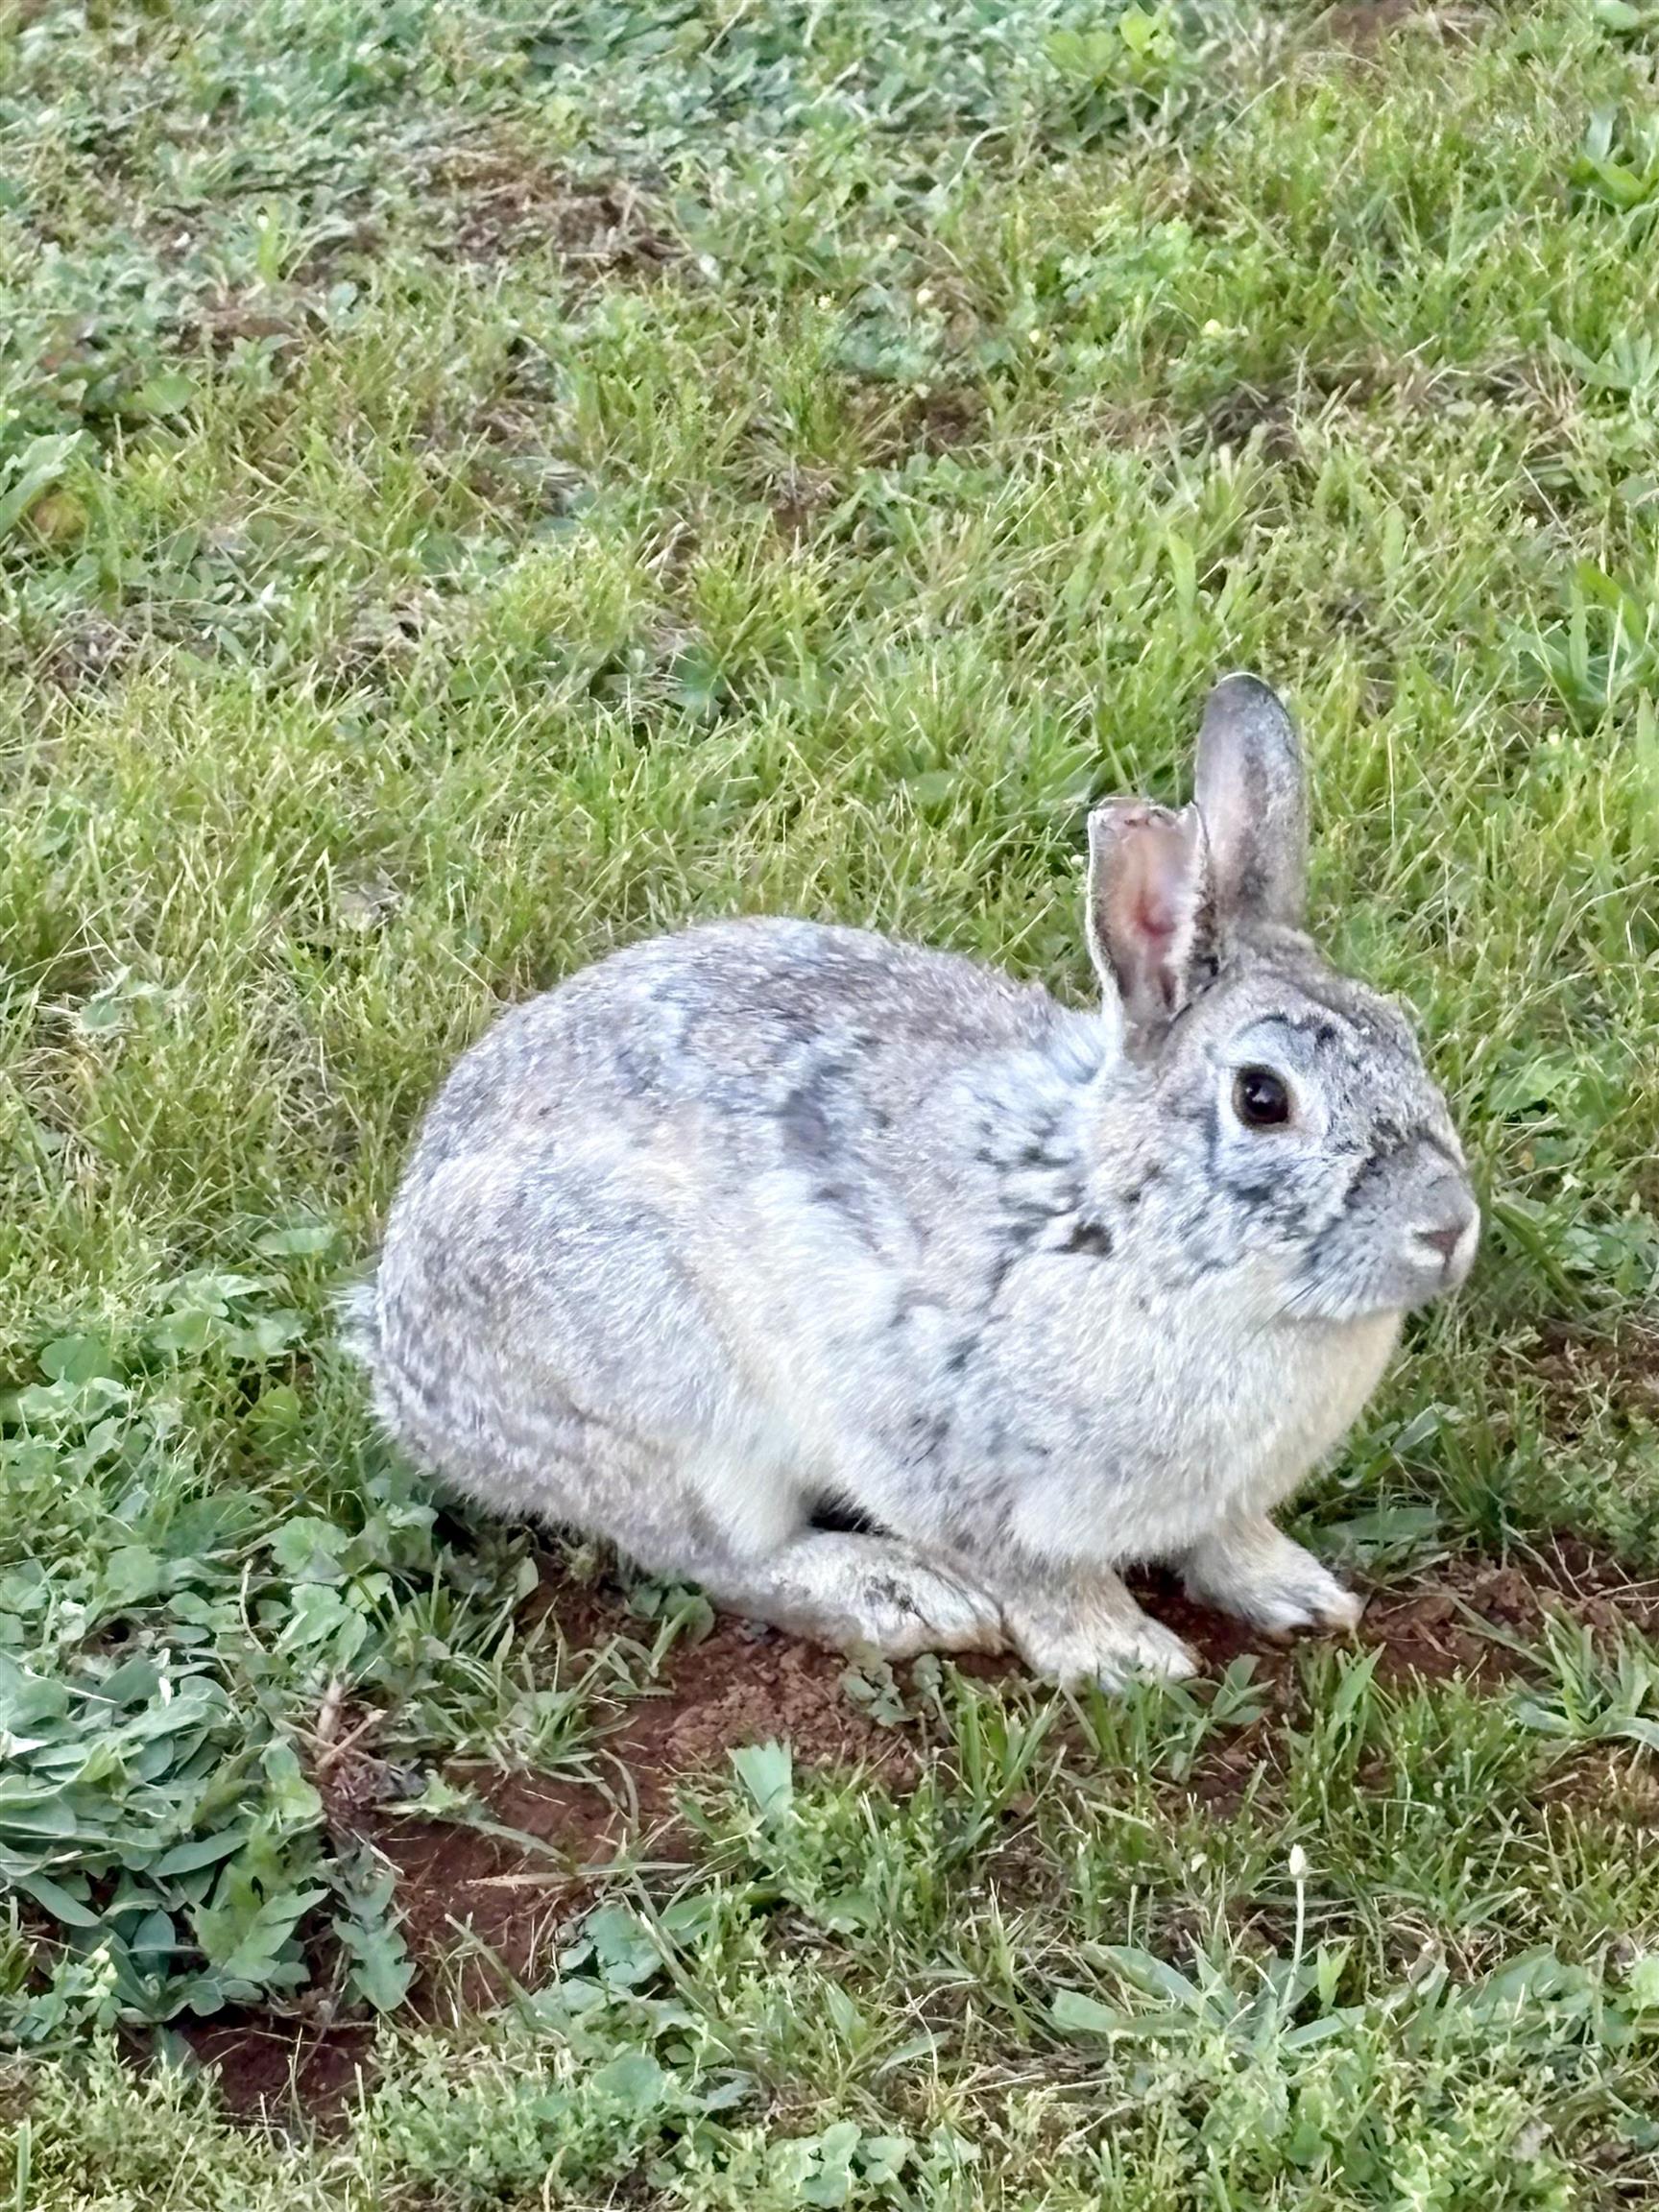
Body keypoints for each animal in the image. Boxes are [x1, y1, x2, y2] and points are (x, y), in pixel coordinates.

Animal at [348, 674, 1478, 1687]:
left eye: (1406, 1032)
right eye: (1261, 1098)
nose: (1448, 1227)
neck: (1122, 1231)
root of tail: (407, 1375)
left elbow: (1226, 1539)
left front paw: (1297, 1593)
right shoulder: (947, 1460)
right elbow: (1036, 1576)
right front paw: (1124, 1655)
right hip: (666, 1401)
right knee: (721, 1554)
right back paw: (900, 1600)